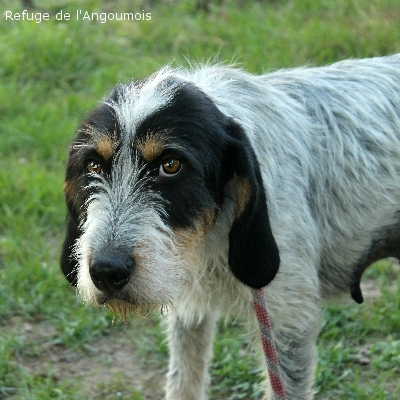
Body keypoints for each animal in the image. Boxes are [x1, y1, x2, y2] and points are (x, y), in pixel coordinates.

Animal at [61, 54, 400, 400]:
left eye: (171, 165)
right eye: (93, 165)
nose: (106, 271)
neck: (214, 237)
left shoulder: (289, 323)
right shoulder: (190, 311)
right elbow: (184, 381)